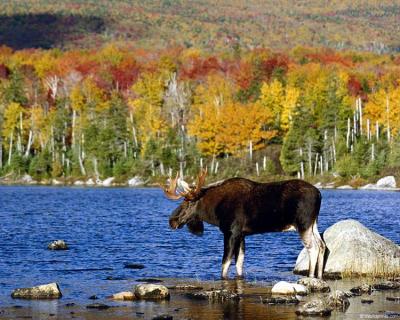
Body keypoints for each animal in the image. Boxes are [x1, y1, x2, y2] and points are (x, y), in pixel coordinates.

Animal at [162, 169, 324, 278]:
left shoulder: (231, 232)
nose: (172, 221)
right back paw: (319, 276)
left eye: (188, 202)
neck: (214, 211)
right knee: (322, 245)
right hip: (313, 223)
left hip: (303, 224)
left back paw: (311, 276)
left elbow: (225, 263)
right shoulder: (242, 234)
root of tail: (319, 194)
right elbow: (239, 263)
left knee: (313, 247)